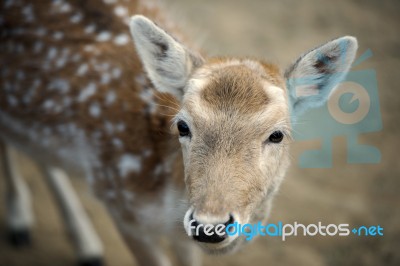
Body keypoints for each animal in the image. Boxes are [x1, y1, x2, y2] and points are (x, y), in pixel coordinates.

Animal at [0, 0, 356, 266]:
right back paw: (21, 222)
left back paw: (84, 244)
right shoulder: (119, 203)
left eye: (277, 134)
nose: (210, 227)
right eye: (183, 126)